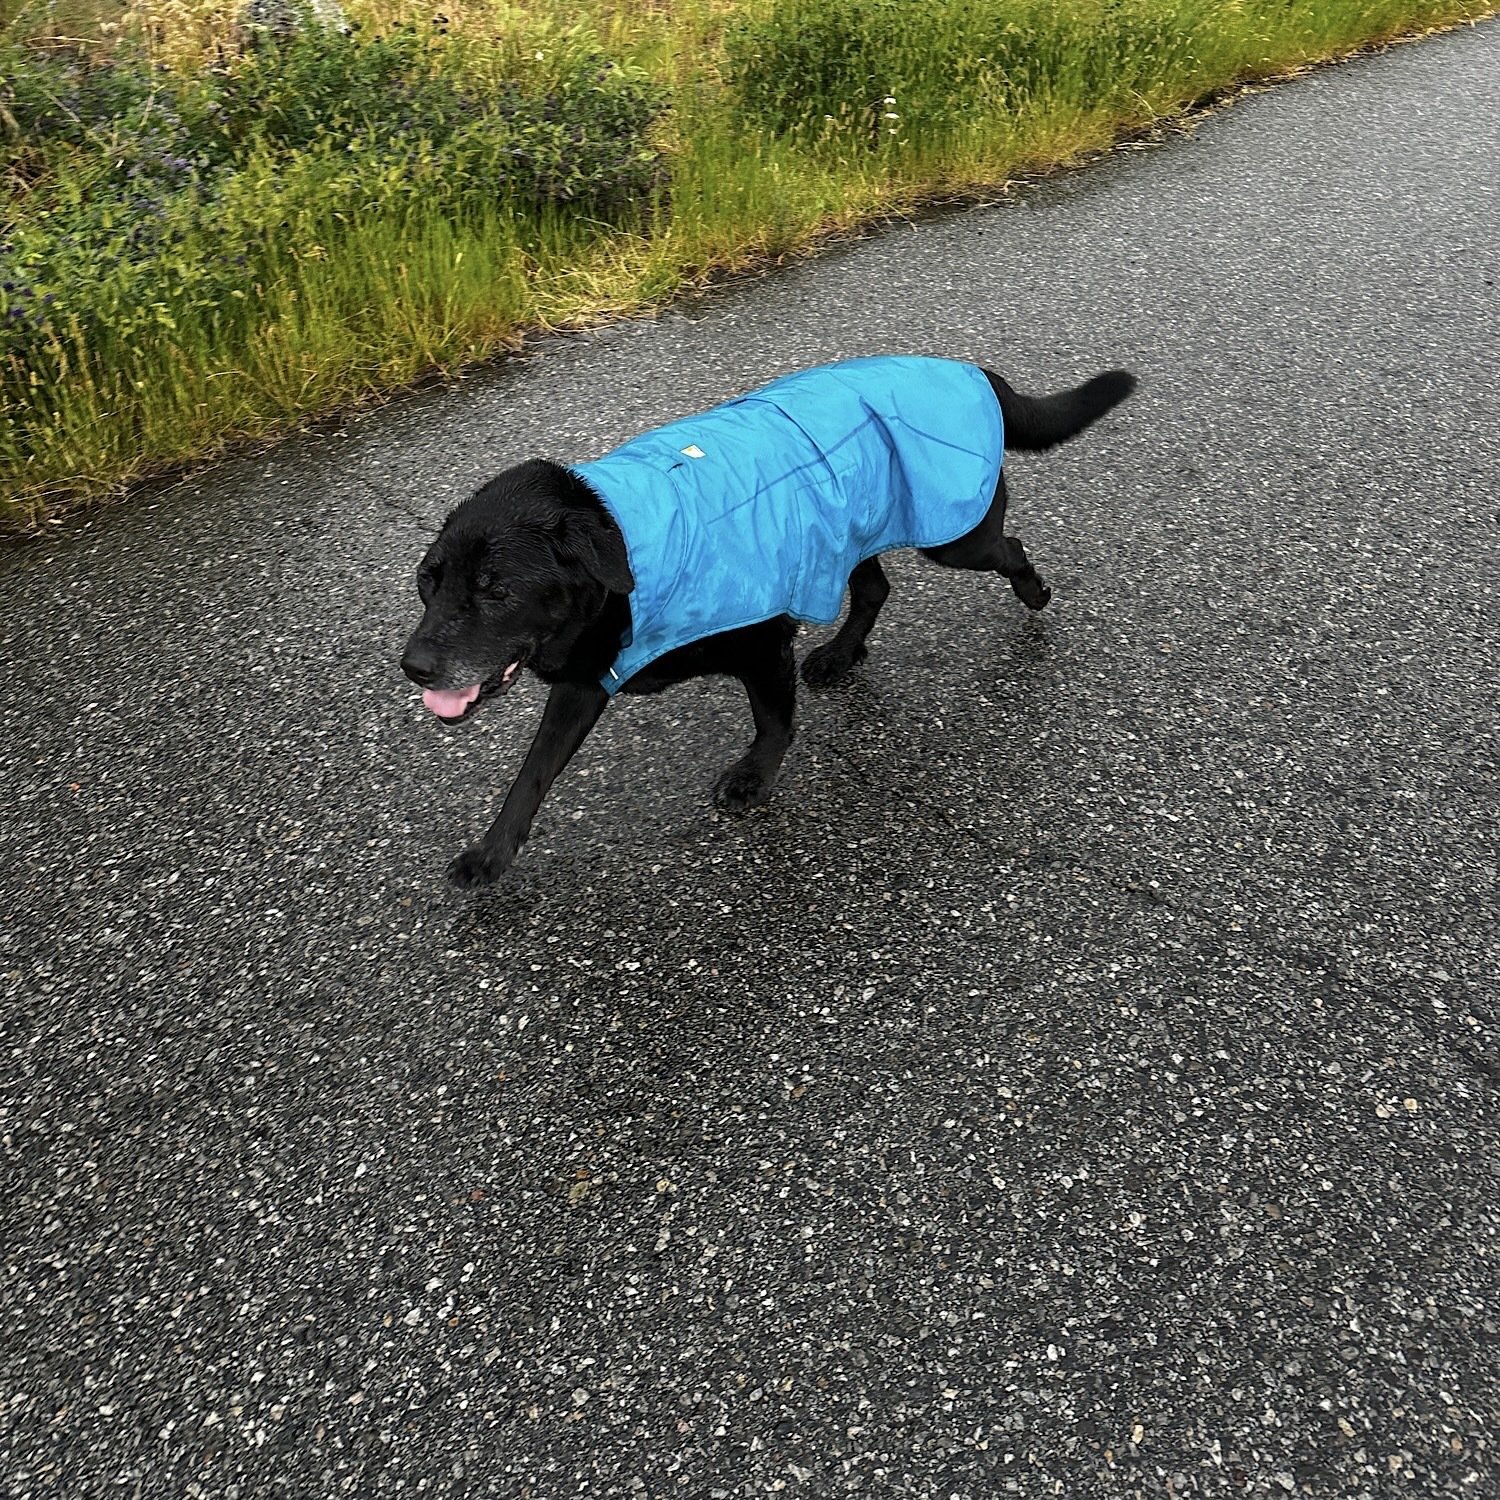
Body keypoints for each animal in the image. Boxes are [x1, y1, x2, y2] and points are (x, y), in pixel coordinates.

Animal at [405, 358, 1128, 882]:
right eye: (426, 583)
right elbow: (532, 773)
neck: (629, 545)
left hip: (955, 537)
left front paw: (754, 777)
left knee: (1009, 549)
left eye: (496, 590)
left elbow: (773, 720)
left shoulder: (761, 643)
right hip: (851, 532)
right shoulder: (585, 682)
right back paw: (841, 656)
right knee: (875, 588)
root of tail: (972, 369)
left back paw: (1033, 592)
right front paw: (493, 852)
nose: (413, 667)